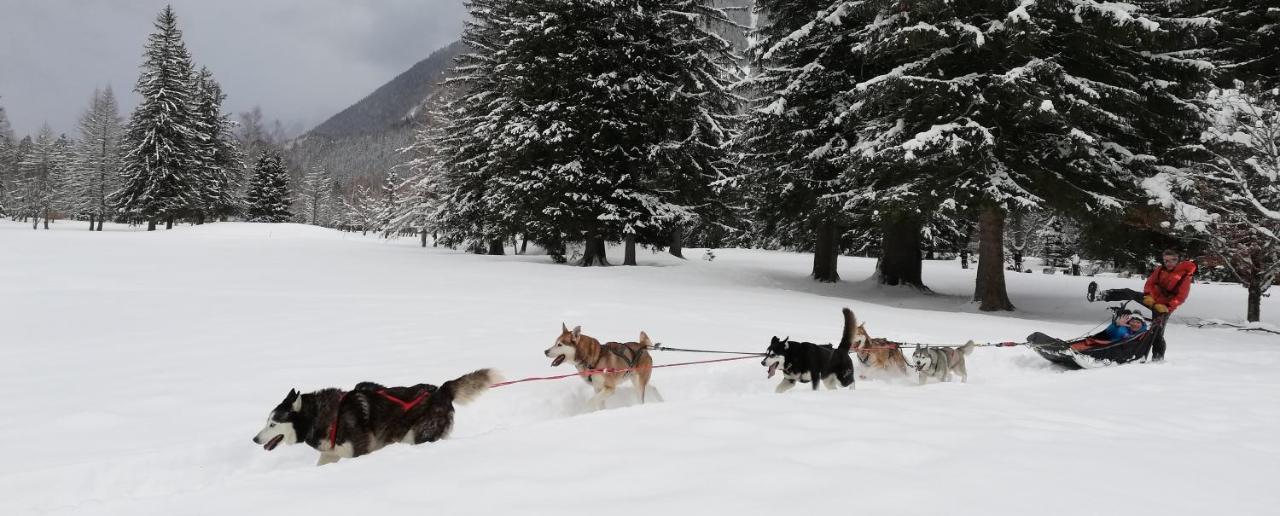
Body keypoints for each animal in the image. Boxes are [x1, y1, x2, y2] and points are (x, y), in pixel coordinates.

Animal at [252, 368, 496, 466]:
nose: (254, 439)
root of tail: (441, 390)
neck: (322, 416)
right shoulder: (331, 454)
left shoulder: (358, 452)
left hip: (418, 436)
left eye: (273, 424)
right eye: (266, 422)